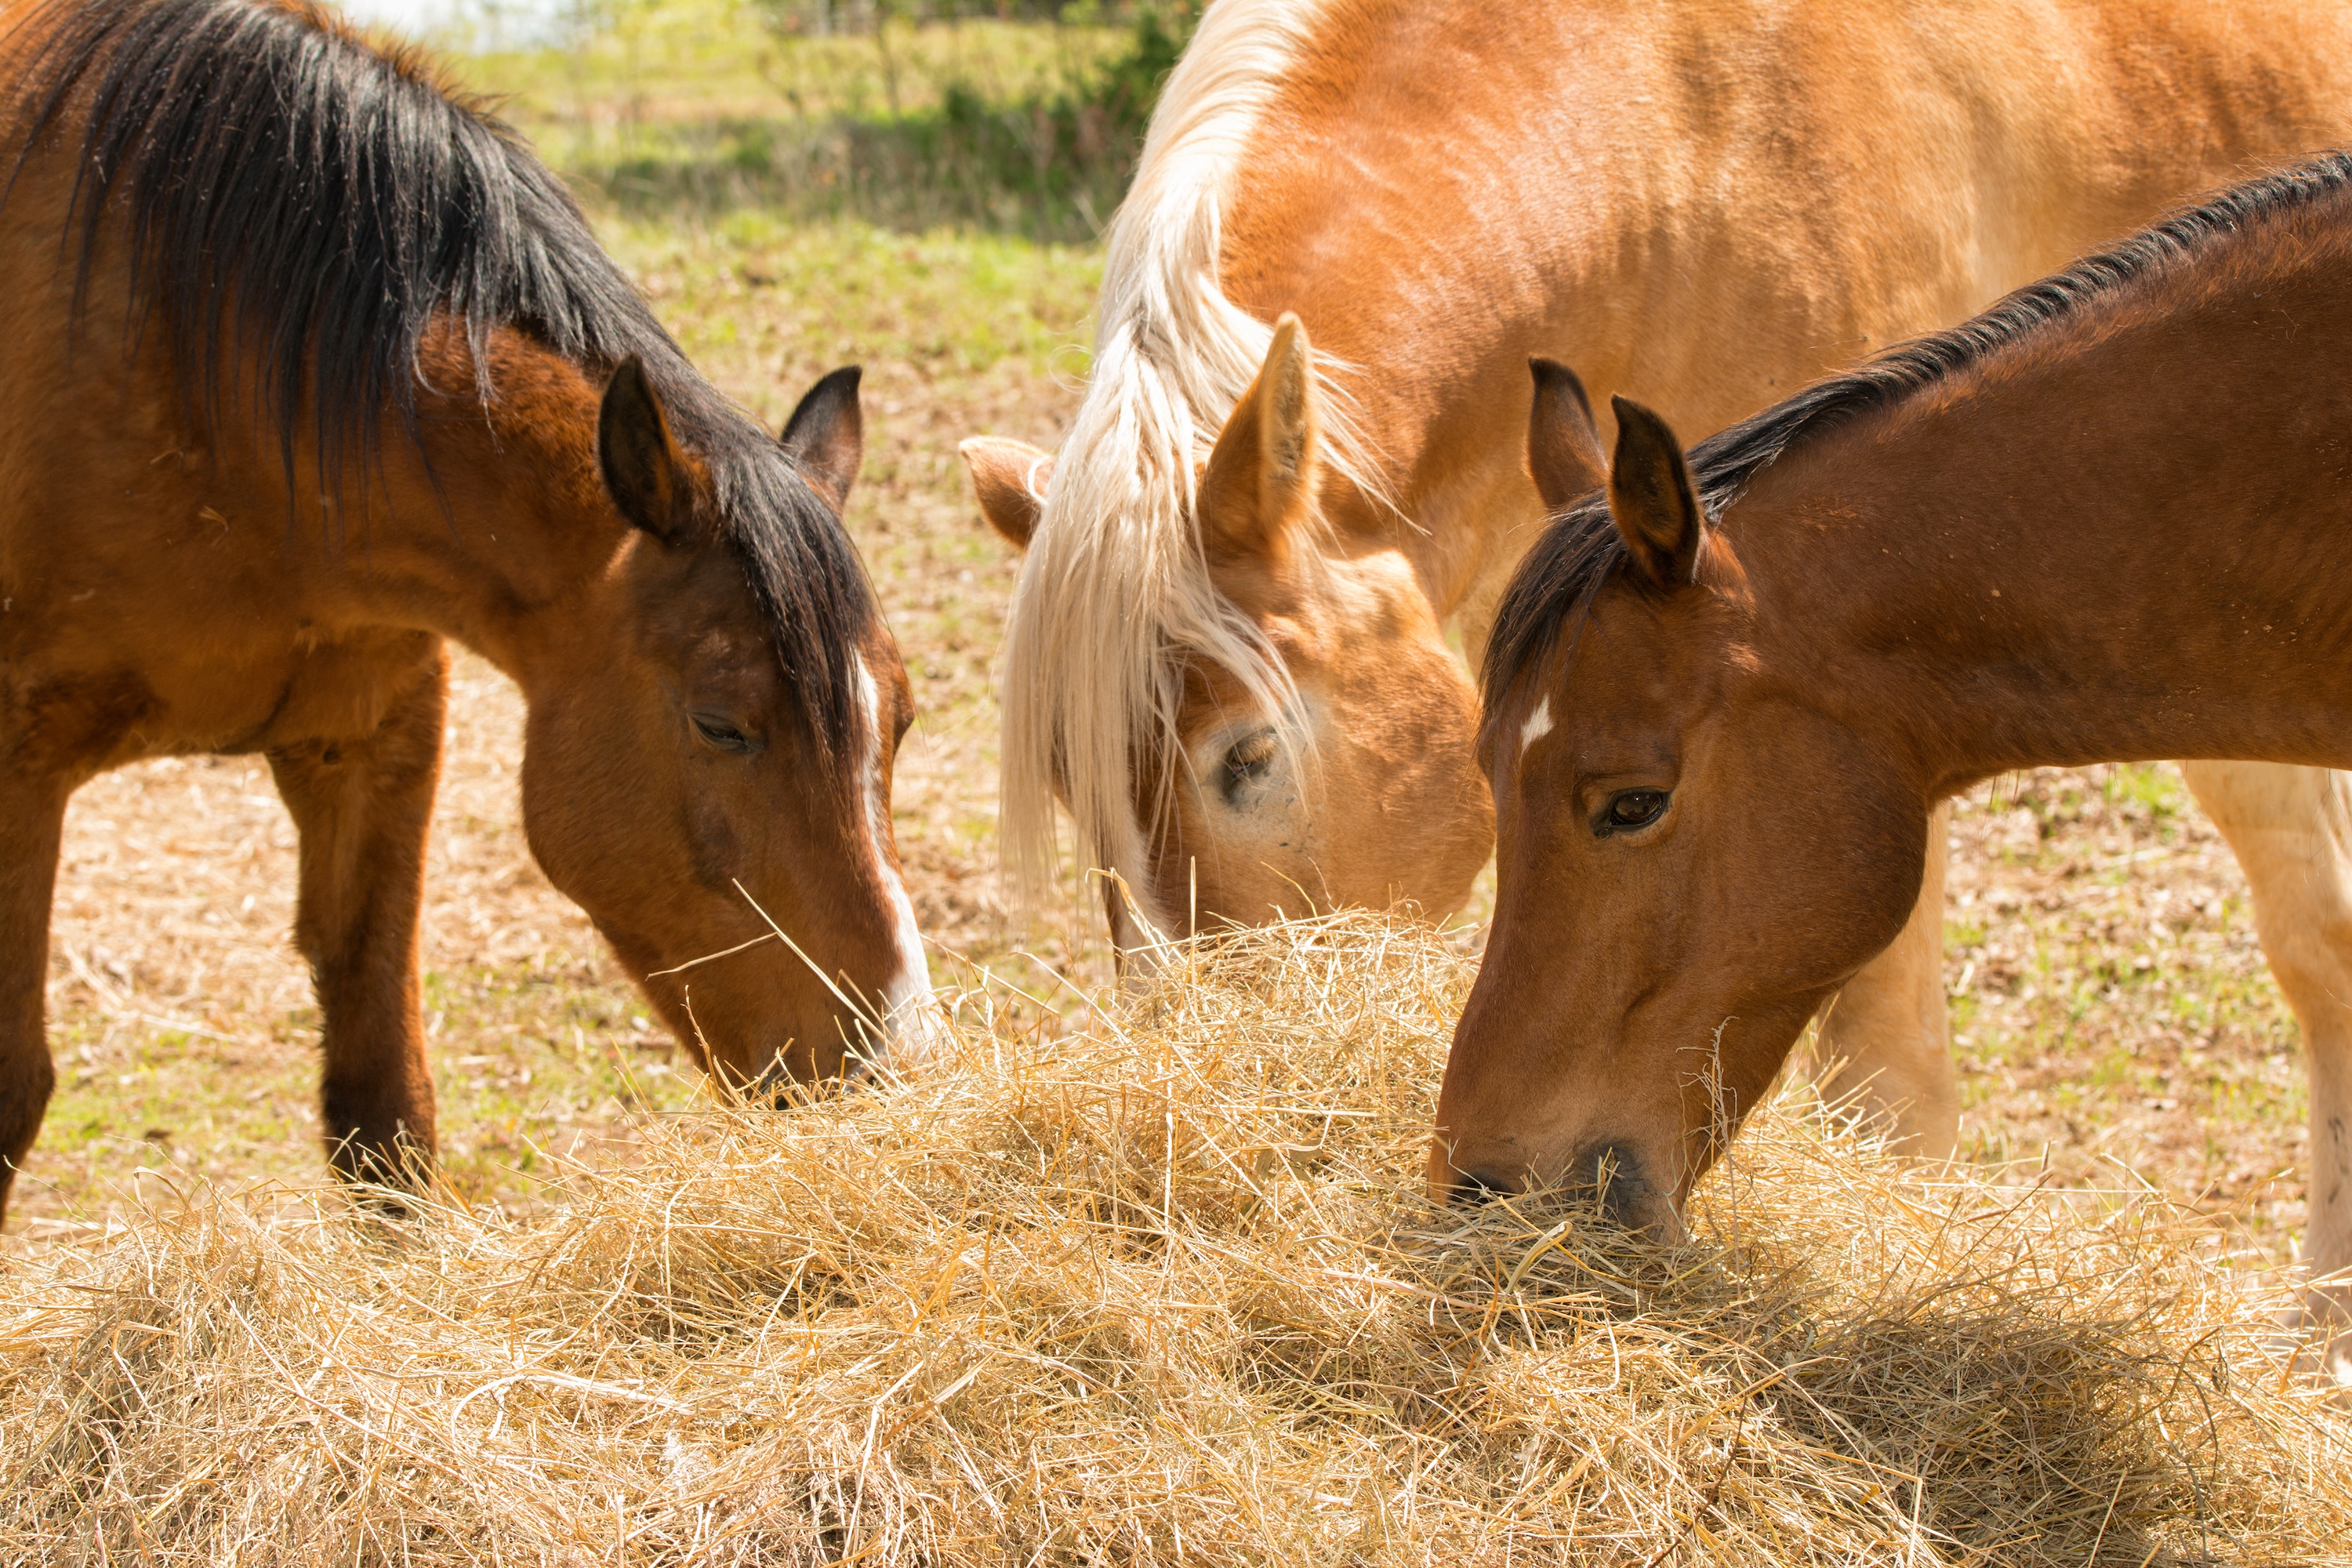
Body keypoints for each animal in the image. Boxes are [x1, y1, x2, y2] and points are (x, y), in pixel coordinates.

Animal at [0, 0, 935, 1221]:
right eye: (721, 724)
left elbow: (382, 1117)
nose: (893, 1069)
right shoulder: (17, 775)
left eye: (902, 720)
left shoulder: (377, 740)